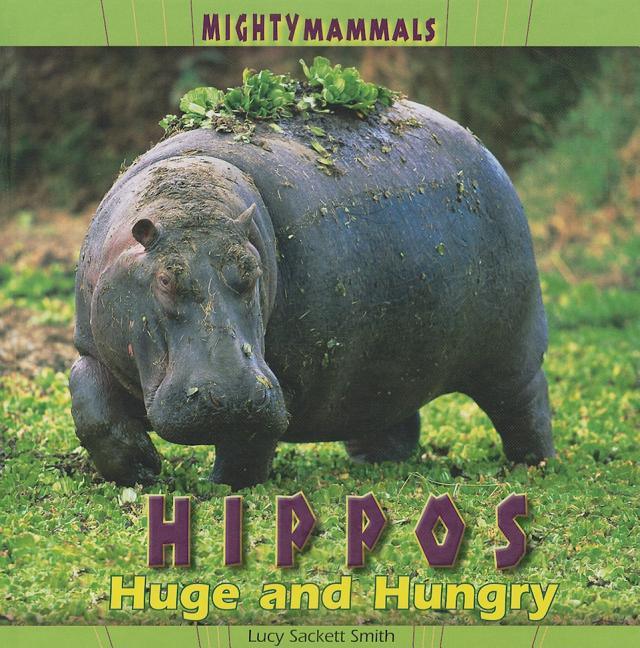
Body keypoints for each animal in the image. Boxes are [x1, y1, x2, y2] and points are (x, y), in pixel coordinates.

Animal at [69, 98, 554, 489]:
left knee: (525, 404)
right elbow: (90, 403)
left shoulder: (281, 376)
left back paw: (532, 465)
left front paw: (224, 489)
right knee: (392, 414)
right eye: (167, 279)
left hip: (512, 350)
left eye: (251, 269)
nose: (232, 397)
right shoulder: (93, 346)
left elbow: (248, 444)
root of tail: (482, 148)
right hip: (389, 368)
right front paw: (141, 469)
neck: (190, 200)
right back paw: (374, 460)